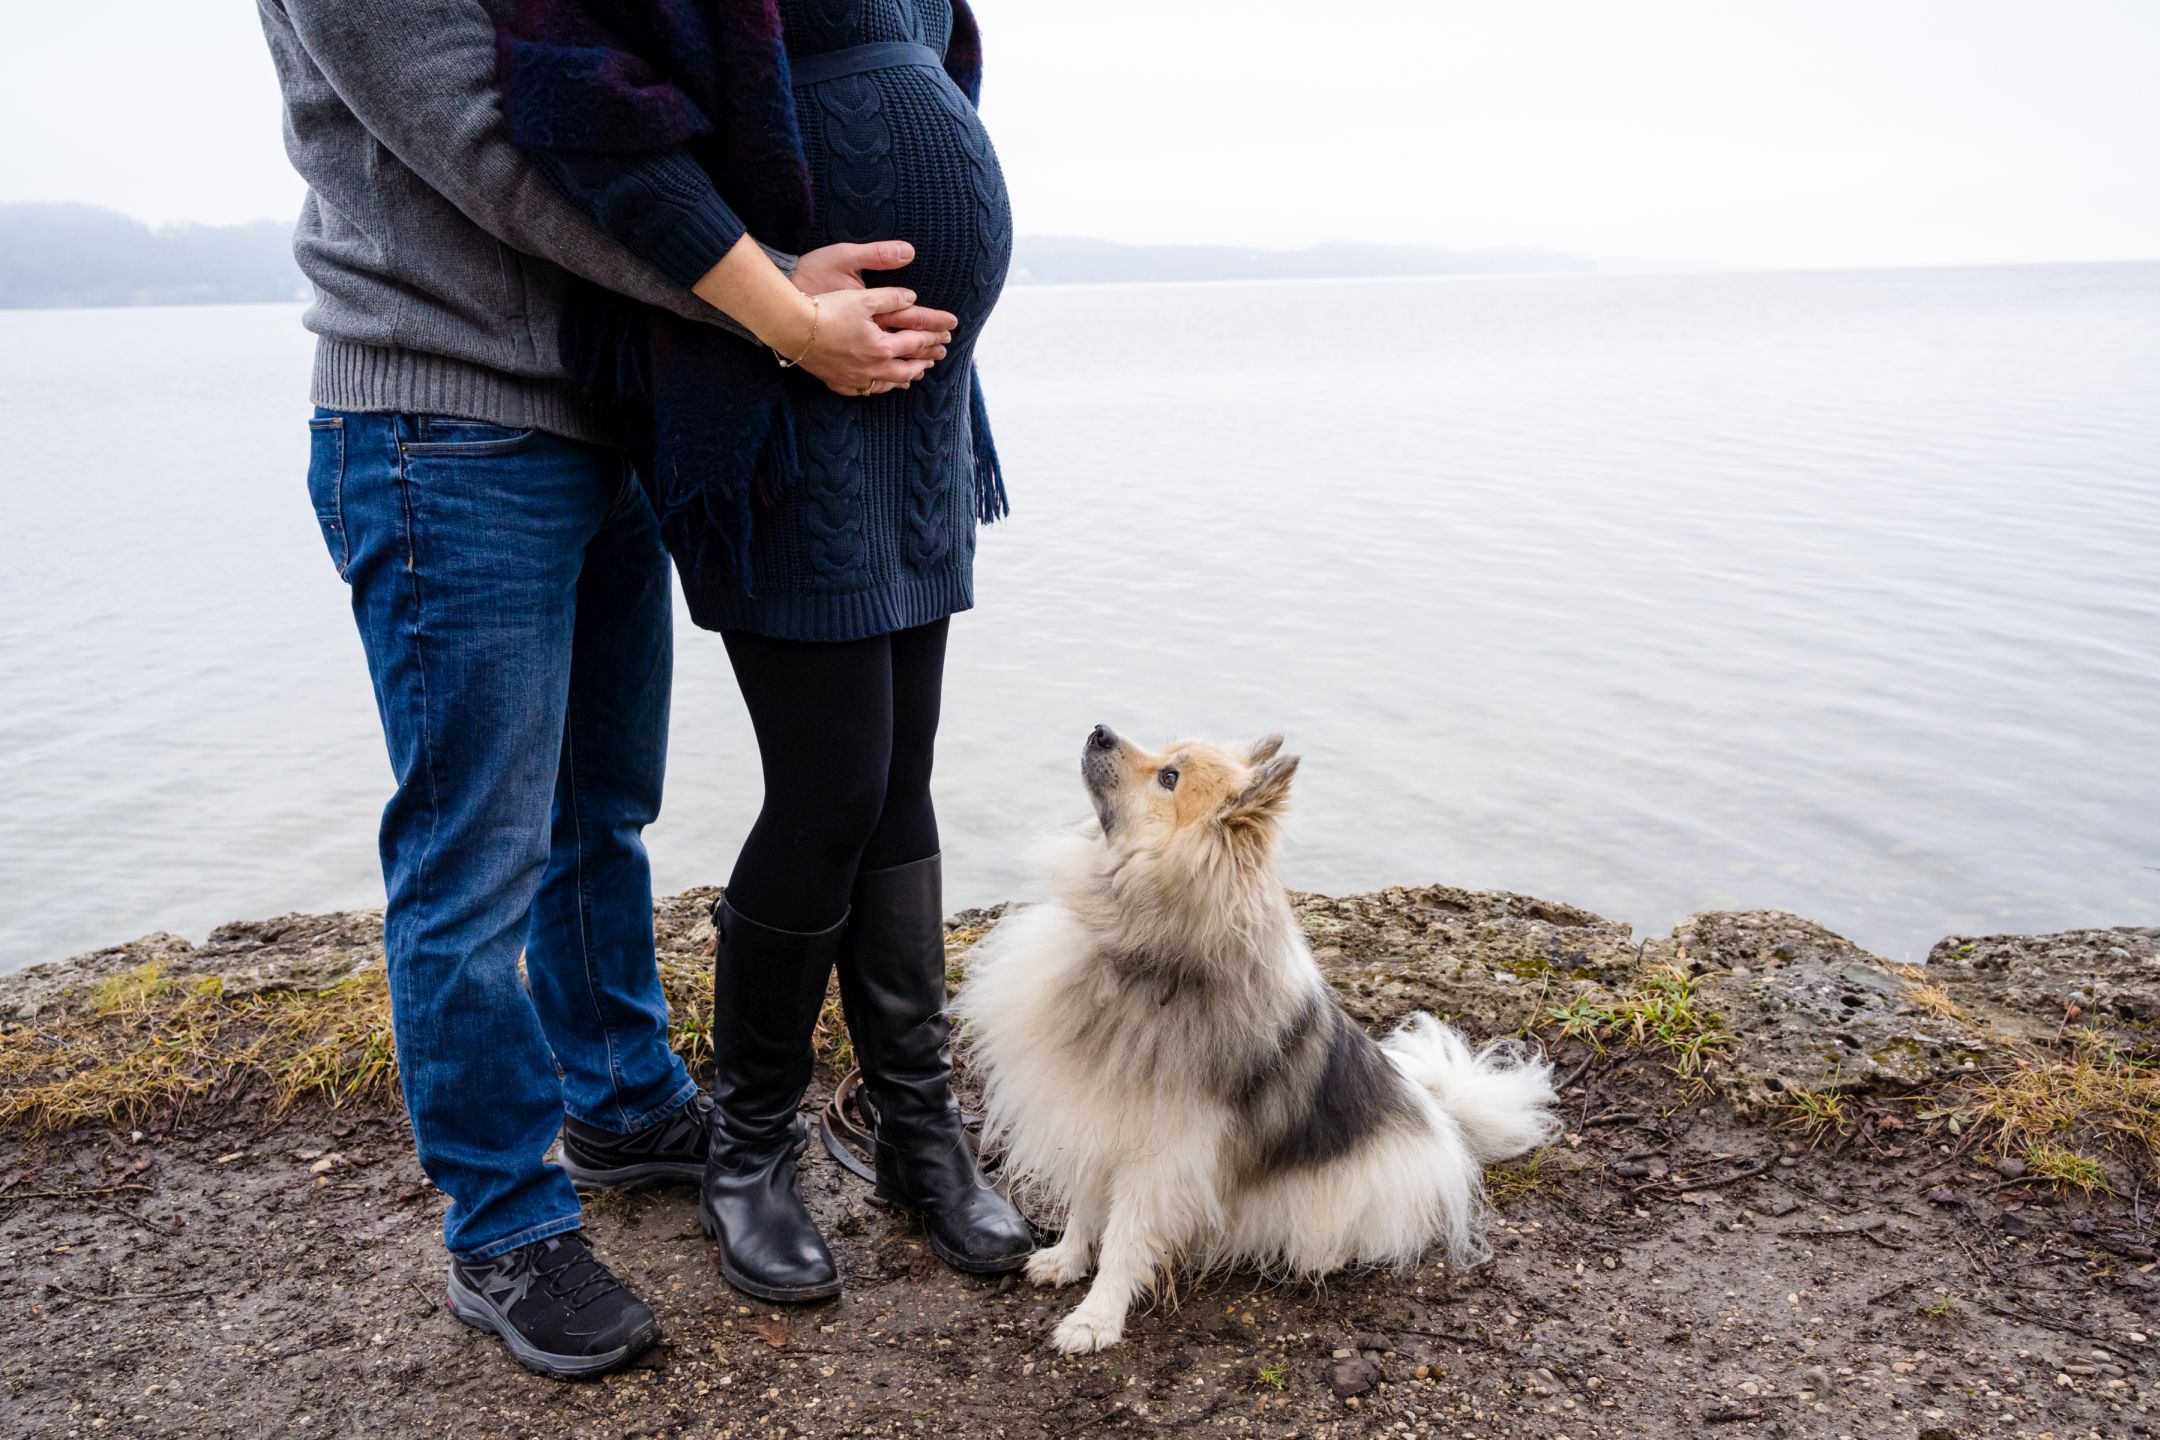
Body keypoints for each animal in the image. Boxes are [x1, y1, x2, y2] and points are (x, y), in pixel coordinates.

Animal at [954, 725, 1563, 1355]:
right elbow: (1085, 1206)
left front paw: (1097, 1317)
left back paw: (1323, 1254)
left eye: (1168, 777)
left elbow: (1125, 1237)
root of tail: (1443, 1120)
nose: (1100, 730)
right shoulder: (1096, 1116)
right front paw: (1068, 1259)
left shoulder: (1160, 1153)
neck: (1141, 954)